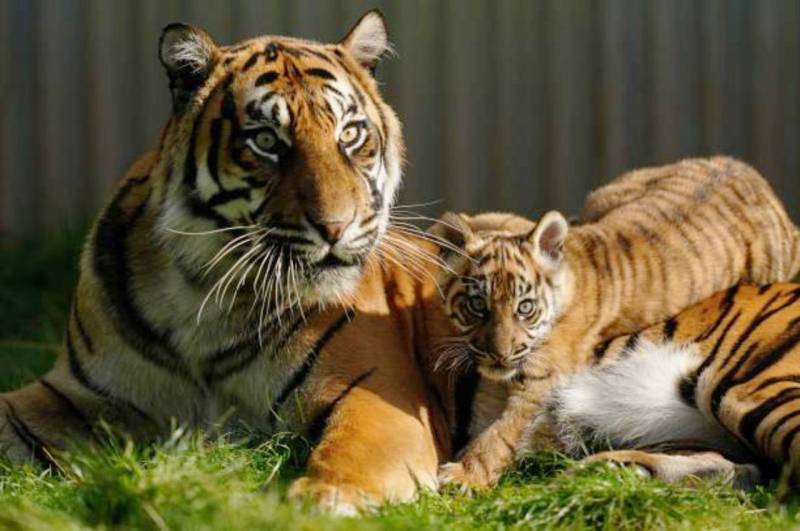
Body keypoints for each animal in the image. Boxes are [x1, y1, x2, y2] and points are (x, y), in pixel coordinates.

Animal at [0, 11, 464, 515]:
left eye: (350, 134)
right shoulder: (77, 393)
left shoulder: (377, 395)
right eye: (266, 141)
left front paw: (320, 498)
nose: (336, 227)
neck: (201, 295)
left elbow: (350, 451)